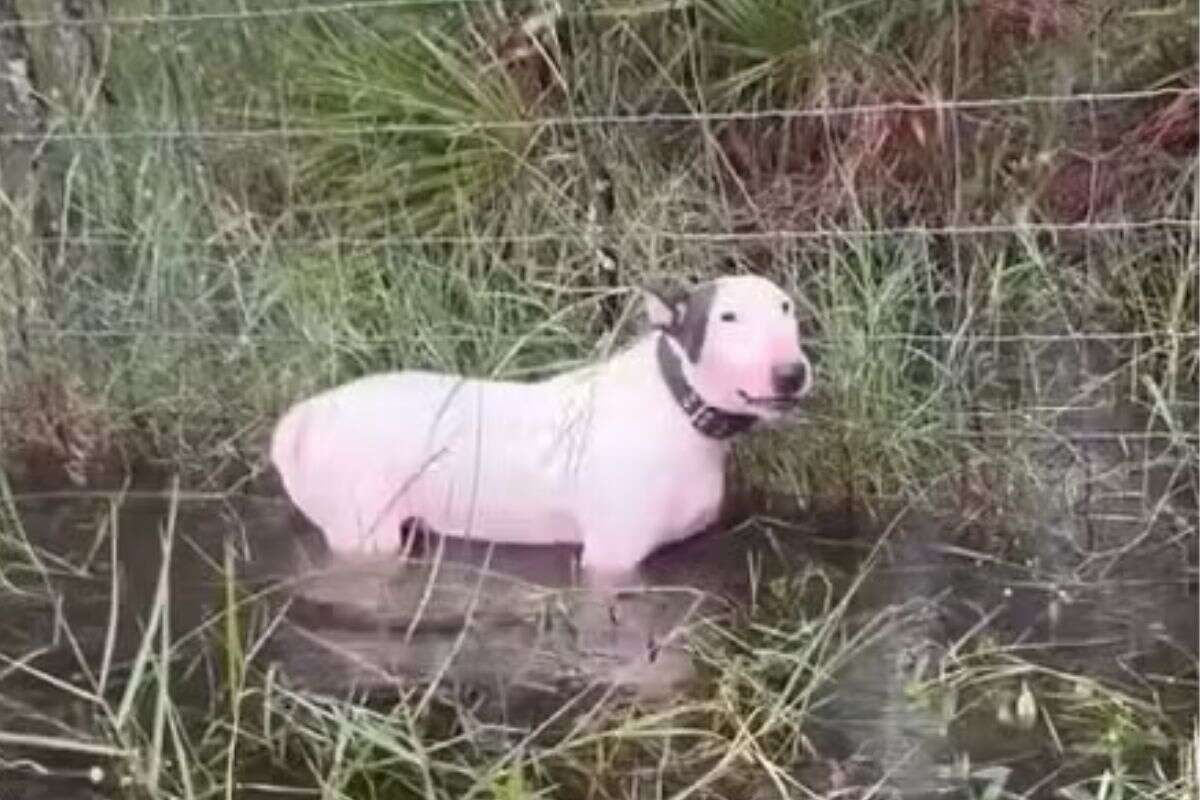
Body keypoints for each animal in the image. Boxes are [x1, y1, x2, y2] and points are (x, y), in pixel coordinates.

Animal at [271, 272, 811, 592]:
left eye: (786, 308)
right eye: (727, 317)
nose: (792, 373)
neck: (677, 406)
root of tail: (304, 417)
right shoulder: (612, 556)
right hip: (363, 529)